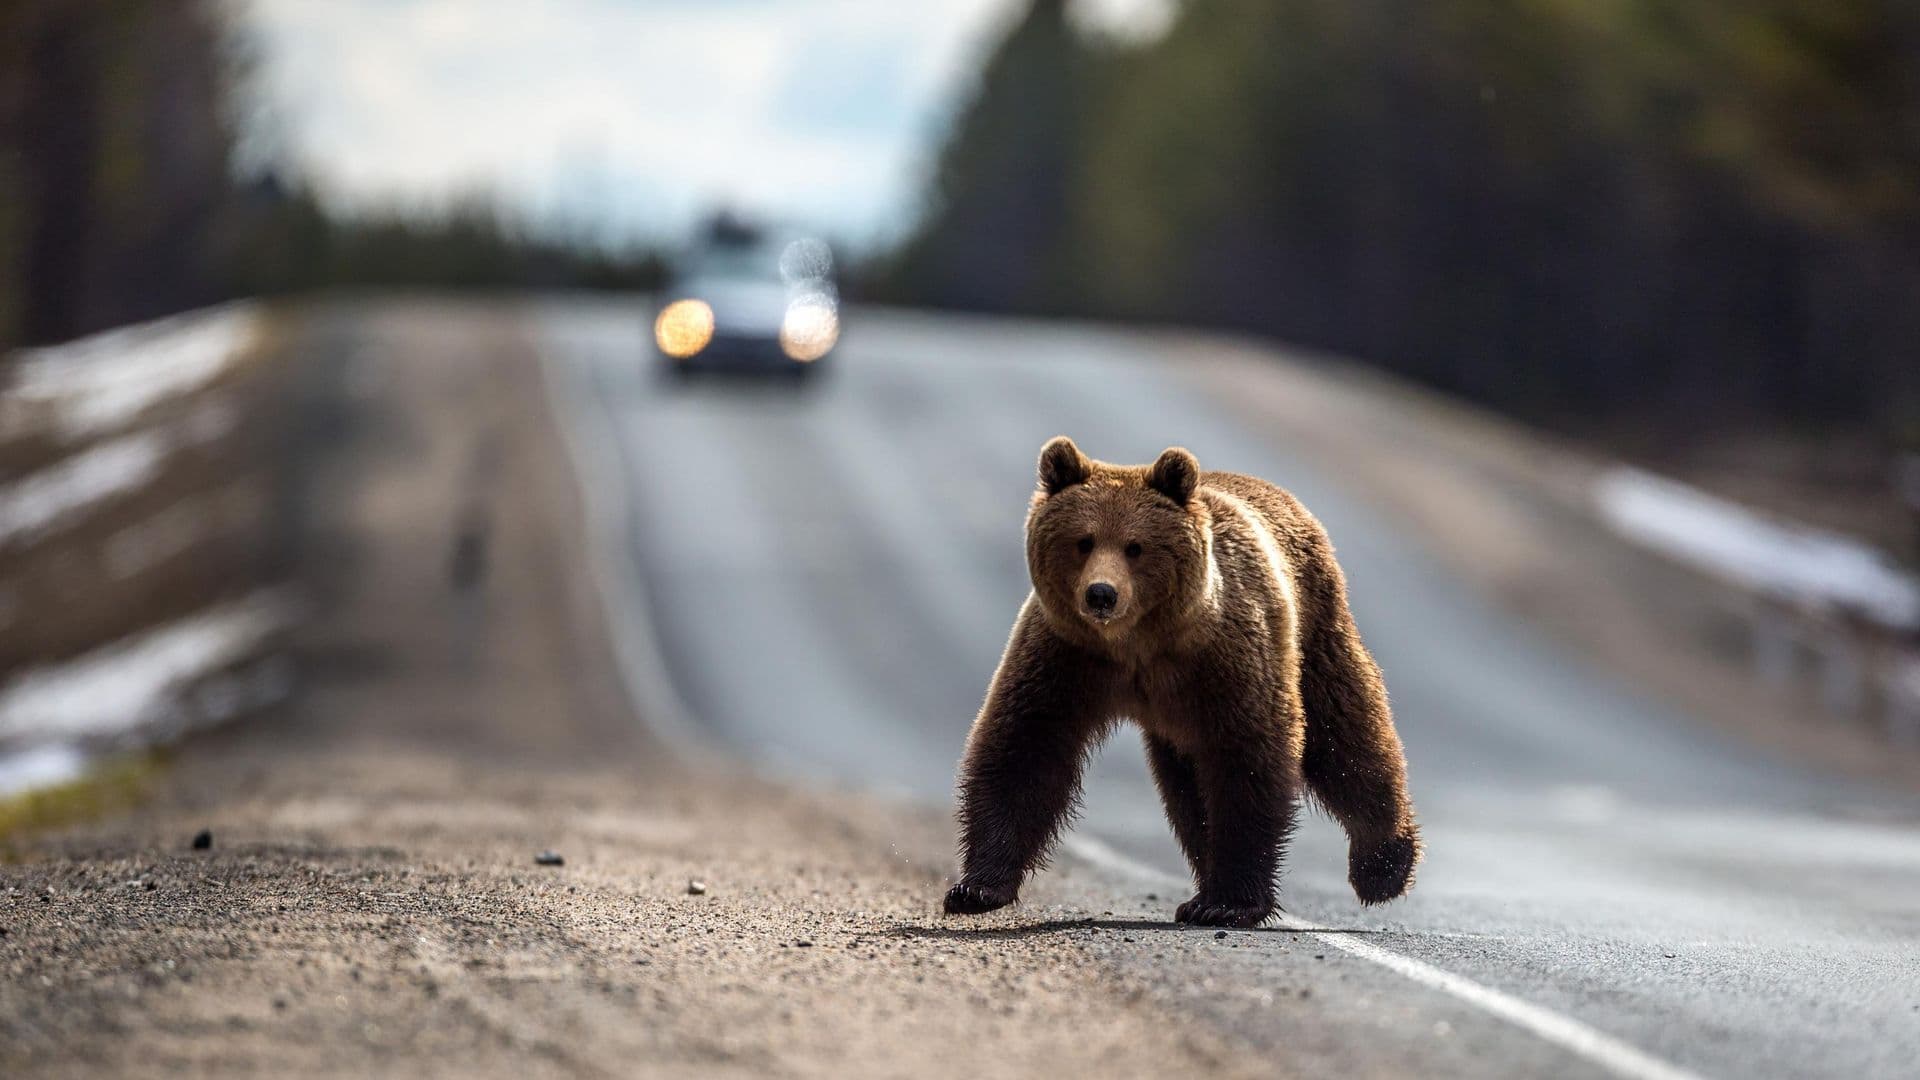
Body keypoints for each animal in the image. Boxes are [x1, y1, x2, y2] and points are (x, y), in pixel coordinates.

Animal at [943, 436, 1421, 928]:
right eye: (1083, 541)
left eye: (1135, 546)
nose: (1101, 594)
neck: (1137, 644)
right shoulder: (1067, 655)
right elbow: (1025, 747)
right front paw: (976, 888)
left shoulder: (1225, 659)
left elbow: (1249, 759)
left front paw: (1231, 902)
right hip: (1180, 721)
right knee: (1187, 789)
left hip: (1312, 629)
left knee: (1346, 734)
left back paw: (1383, 866)